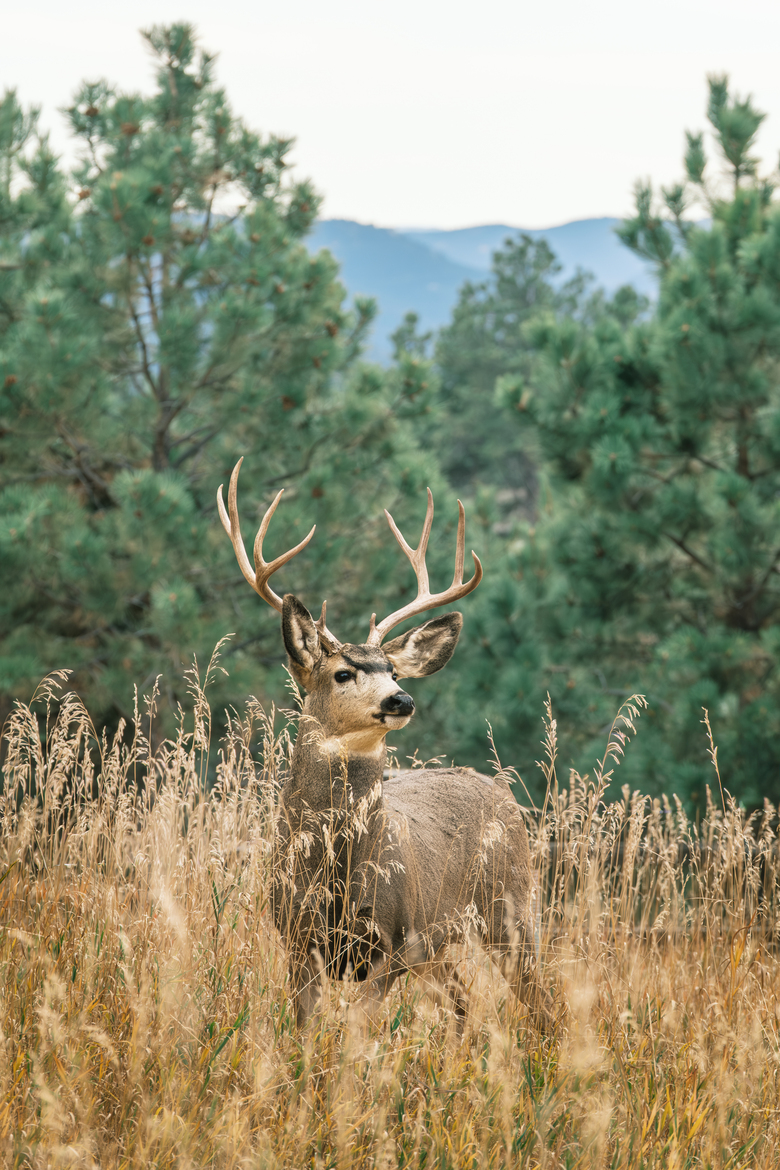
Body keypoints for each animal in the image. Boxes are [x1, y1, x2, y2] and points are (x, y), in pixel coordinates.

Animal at [218, 458, 551, 1030]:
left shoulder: (395, 942)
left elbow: (356, 1032)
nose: (402, 699)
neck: (336, 875)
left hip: (511, 908)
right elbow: (305, 1033)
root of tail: (500, 790)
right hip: (445, 946)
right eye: (343, 672)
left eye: (392, 669)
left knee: (542, 1001)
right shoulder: (297, 941)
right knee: (464, 1004)